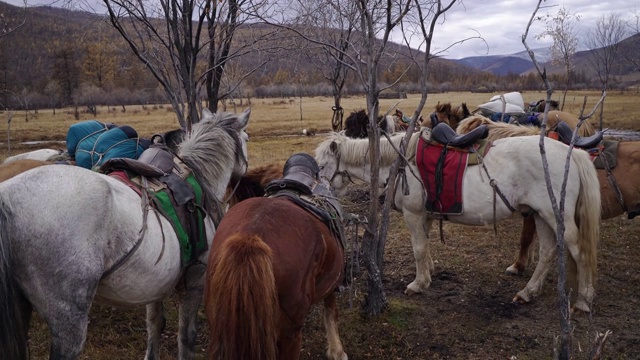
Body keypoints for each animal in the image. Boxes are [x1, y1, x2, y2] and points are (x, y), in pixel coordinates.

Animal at [0, 108, 251, 358]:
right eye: (247, 138)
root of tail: (7, 197)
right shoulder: (194, 283)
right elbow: (186, 338)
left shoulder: (156, 285)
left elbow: (154, 326)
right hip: (68, 319)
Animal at [318, 130, 604, 312]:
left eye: (321, 166)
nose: (320, 195)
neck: (399, 162)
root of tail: (572, 153)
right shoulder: (425, 216)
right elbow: (426, 247)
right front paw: (429, 273)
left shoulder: (413, 214)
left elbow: (418, 249)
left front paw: (418, 284)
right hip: (540, 215)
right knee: (547, 252)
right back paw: (528, 292)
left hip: (557, 218)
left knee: (579, 252)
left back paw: (584, 300)